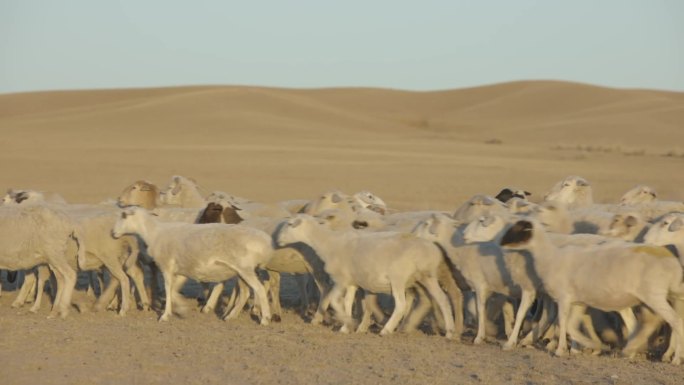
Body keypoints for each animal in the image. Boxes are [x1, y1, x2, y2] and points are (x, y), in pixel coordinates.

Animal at [111, 206, 272, 322]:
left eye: (123, 216)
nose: (113, 233)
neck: (154, 233)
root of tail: (264, 242)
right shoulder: (182, 271)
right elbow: (173, 290)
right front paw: (182, 308)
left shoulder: (167, 267)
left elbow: (168, 289)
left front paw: (165, 315)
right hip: (242, 271)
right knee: (245, 292)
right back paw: (230, 316)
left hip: (245, 269)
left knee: (259, 289)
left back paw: (265, 318)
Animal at [272, 213, 454, 336]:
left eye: (289, 224)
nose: (277, 240)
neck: (328, 243)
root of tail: (428, 250)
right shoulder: (352, 283)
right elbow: (347, 302)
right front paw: (345, 327)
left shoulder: (341, 280)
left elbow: (334, 301)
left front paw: (348, 322)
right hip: (428, 276)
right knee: (442, 299)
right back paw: (450, 331)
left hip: (398, 278)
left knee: (401, 305)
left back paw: (386, 330)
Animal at [496, 218, 684, 362]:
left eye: (517, 229)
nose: (499, 243)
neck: (550, 257)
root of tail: (671, 261)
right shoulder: (578, 302)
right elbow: (570, 325)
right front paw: (592, 345)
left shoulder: (563, 297)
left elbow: (561, 322)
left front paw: (560, 349)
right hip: (663, 295)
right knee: (643, 323)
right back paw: (632, 349)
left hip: (654, 296)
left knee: (674, 322)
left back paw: (673, 358)